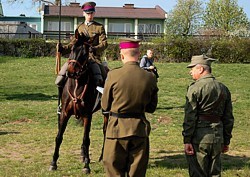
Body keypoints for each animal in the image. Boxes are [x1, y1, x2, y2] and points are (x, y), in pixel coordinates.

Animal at [48, 34, 108, 174]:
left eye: (85, 53)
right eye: (71, 49)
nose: (70, 71)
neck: (77, 84)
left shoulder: (87, 115)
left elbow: (86, 139)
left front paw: (86, 166)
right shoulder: (64, 113)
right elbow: (59, 137)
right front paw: (53, 163)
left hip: (105, 113)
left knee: (104, 131)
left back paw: (101, 157)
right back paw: (83, 155)